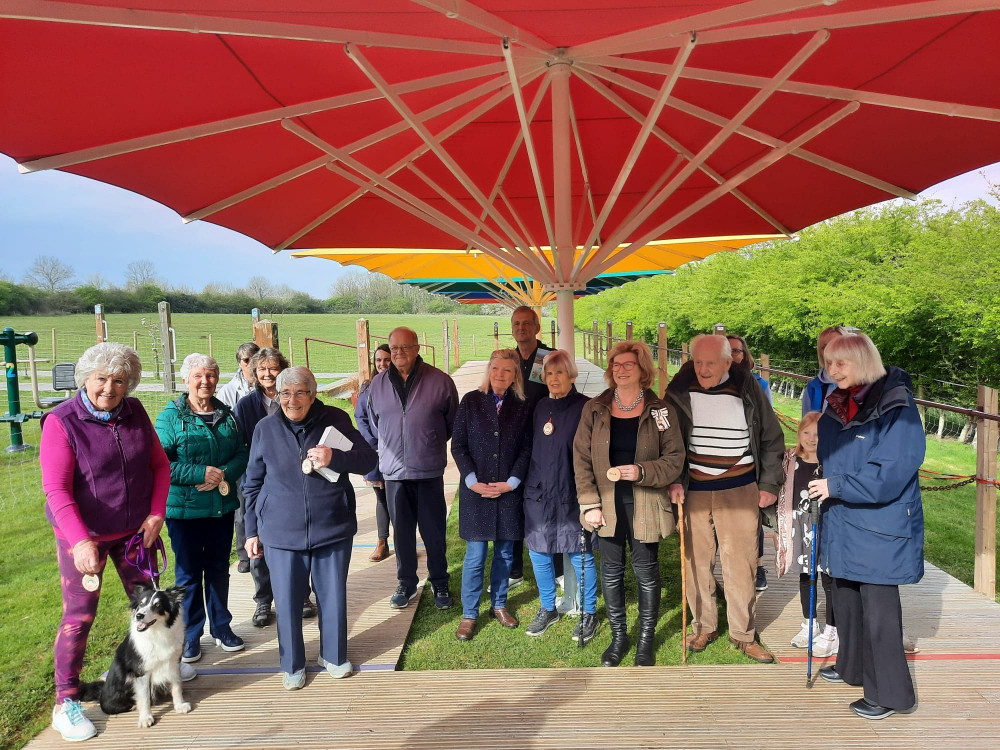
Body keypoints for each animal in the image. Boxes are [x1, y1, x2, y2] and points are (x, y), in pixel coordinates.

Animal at [79, 580, 192, 728]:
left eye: (158, 605)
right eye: (141, 604)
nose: (139, 615)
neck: (156, 633)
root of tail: (101, 692)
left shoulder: (173, 662)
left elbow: (177, 685)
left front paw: (180, 706)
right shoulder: (140, 671)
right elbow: (144, 697)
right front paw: (145, 718)